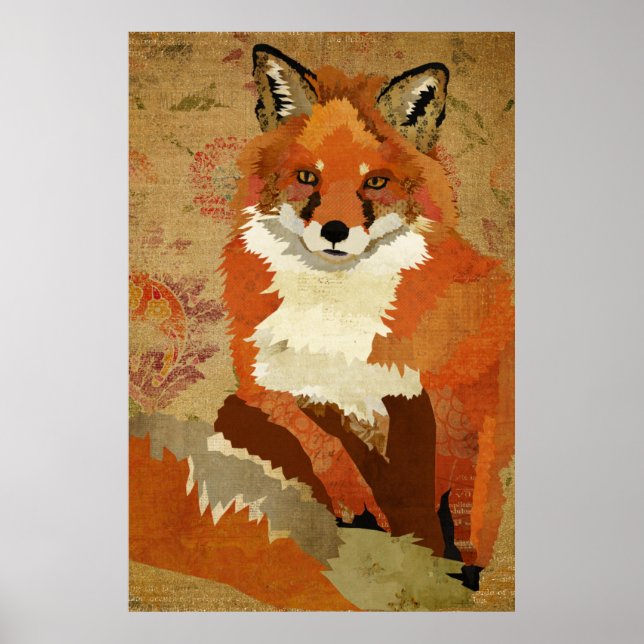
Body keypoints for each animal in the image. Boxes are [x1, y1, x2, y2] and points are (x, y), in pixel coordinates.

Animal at [215, 44, 514, 566]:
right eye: (307, 177)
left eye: (375, 183)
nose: (335, 231)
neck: (336, 323)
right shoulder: (280, 395)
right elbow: (326, 465)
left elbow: (435, 501)